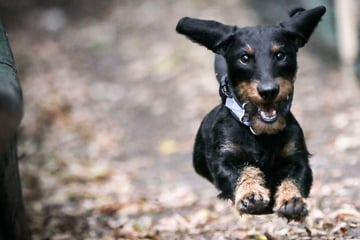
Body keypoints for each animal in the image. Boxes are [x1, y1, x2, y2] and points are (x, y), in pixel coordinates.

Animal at [176, 5, 326, 222]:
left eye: (280, 55)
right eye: (244, 58)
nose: (268, 91)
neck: (259, 131)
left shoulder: (298, 159)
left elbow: (294, 178)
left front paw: (292, 201)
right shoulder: (224, 160)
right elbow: (243, 170)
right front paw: (250, 195)